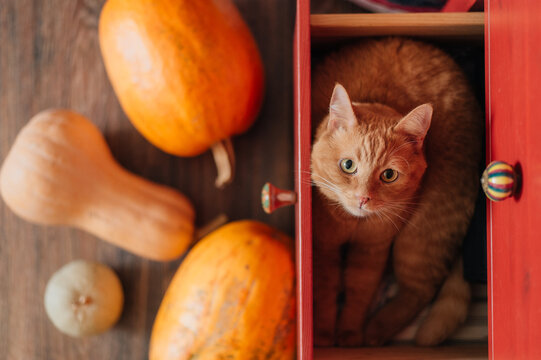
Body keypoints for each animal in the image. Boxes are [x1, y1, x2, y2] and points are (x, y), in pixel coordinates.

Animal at [310, 38, 484, 348]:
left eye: (388, 175)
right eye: (348, 165)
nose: (363, 199)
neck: (355, 224)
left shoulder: (372, 252)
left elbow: (358, 293)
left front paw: (351, 335)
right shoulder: (324, 249)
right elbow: (326, 292)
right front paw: (323, 335)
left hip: (418, 236)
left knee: (421, 290)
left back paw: (377, 330)